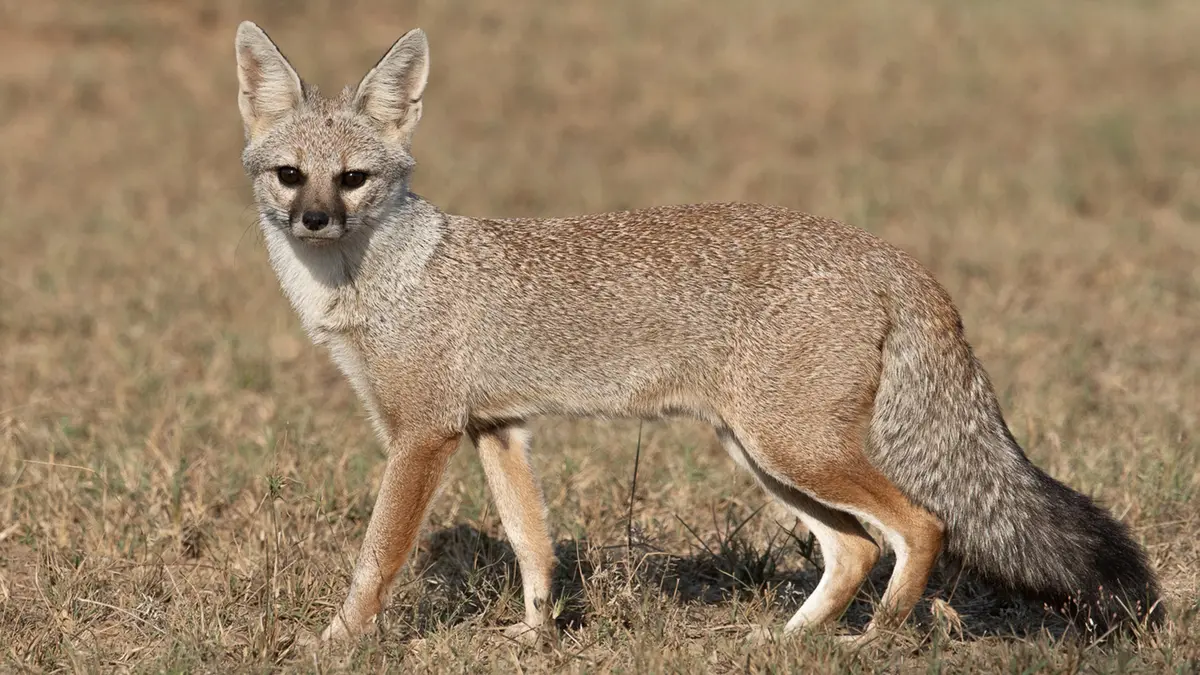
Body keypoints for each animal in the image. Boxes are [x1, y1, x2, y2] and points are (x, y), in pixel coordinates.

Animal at [233, 21, 1162, 646]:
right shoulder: (497, 428)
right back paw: (792, 642)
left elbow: (377, 556)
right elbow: (533, 546)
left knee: (921, 524)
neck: (380, 280)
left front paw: (335, 642)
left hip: (793, 447)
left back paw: (874, 640)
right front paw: (535, 637)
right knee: (855, 548)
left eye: (354, 179)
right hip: (762, 453)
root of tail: (888, 253)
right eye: (291, 175)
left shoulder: (422, 435)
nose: (314, 220)